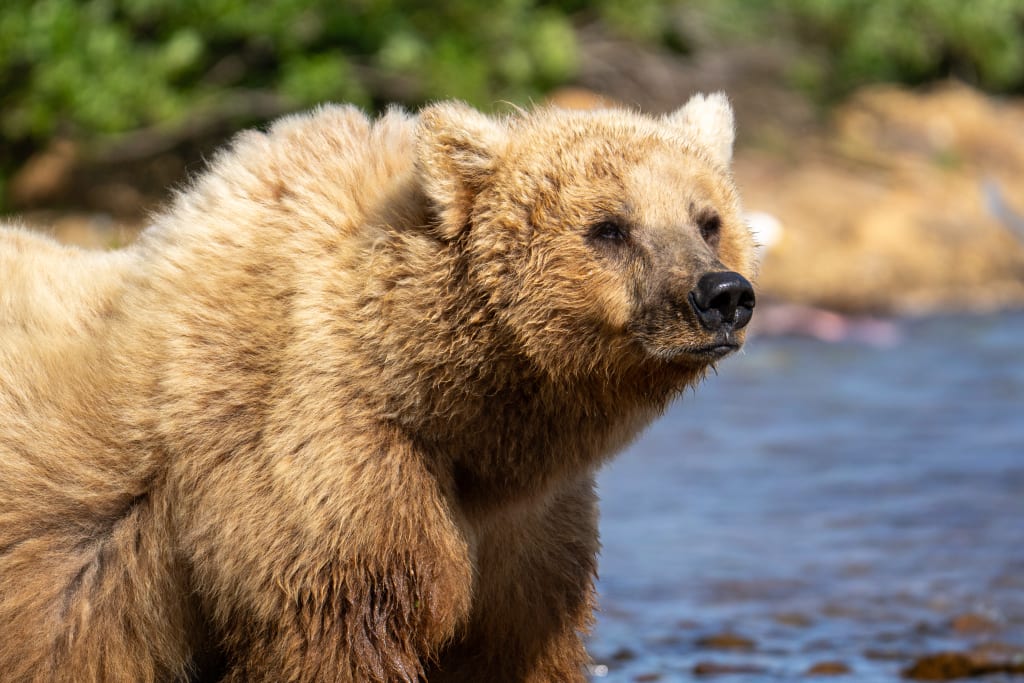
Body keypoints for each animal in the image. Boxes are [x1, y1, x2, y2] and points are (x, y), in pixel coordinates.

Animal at [0, 94, 755, 682]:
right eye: (609, 227)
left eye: (707, 219)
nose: (721, 295)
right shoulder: (323, 467)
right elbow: (347, 625)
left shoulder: (528, 536)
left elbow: (515, 642)